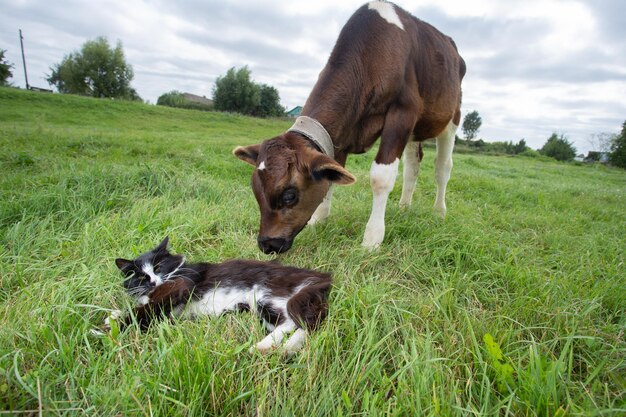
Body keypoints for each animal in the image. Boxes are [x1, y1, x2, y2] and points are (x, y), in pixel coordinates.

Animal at [105, 237, 332, 354]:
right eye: (141, 277)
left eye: (158, 267)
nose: (153, 281)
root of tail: (320, 276)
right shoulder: (169, 313)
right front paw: (113, 316)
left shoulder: (179, 286)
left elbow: (144, 311)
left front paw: (112, 327)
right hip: (266, 310)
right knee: (299, 323)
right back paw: (276, 348)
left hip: (267, 295)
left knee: (306, 322)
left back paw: (266, 347)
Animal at [233, 1, 464, 254]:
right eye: (255, 189)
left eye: (289, 196)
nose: (267, 244)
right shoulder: (340, 135)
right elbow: (332, 172)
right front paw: (319, 221)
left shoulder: (403, 111)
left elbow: (381, 177)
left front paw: (372, 239)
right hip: (416, 131)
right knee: (413, 164)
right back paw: (404, 207)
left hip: (452, 117)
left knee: (443, 167)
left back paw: (439, 212)